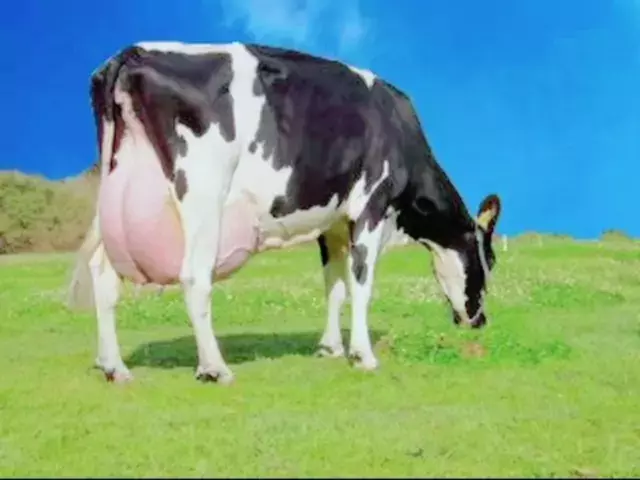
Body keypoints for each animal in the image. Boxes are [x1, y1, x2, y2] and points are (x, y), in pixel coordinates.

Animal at [67, 41, 502, 385]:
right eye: (490, 260)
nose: (480, 322)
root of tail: (132, 53)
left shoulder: (333, 223)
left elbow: (334, 285)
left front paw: (330, 347)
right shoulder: (371, 206)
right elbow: (361, 284)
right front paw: (363, 355)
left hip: (115, 198)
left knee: (103, 276)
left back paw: (114, 366)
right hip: (203, 194)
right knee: (193, 277)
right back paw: (215, 368)